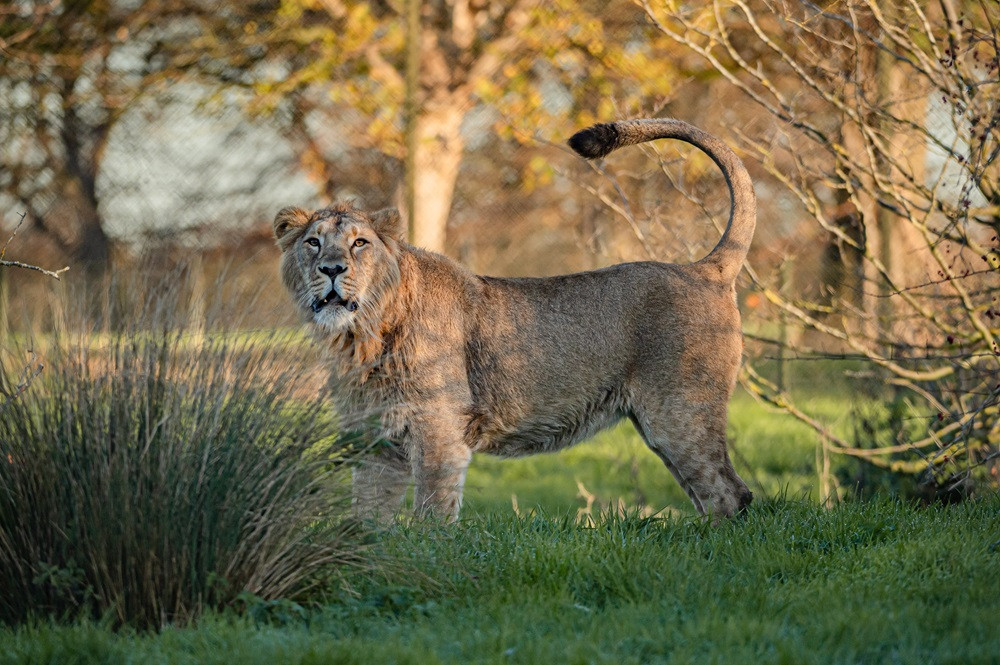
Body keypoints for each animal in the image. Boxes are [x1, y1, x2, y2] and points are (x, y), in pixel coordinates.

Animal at [274, 118, 755, 522]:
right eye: (313, 242)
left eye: (360, 243)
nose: (332, 268)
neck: (362, 337)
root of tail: (705, 269)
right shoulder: (372, 439)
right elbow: (369, 518)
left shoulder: (439, 431)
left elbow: (432, 513)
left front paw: (429, 558)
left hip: (680, 412)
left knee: (730, 494)